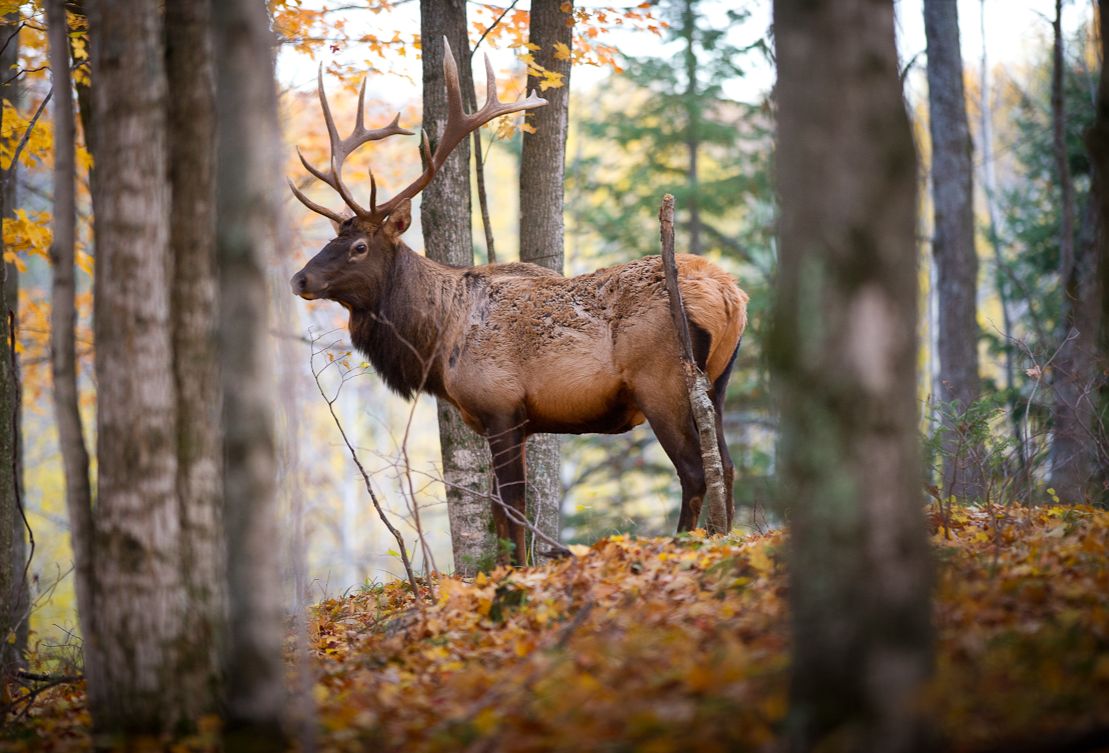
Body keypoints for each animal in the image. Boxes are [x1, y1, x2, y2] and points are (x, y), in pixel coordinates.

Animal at [289, 40, 749, 566]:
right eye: (333, 237)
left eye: (360, 247)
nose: (299, 278)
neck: (438, 345)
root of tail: (732, 295)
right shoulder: (515, 421)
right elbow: (499, 510)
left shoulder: (500, 406)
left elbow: (511, 507)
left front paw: (516, 571)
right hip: (718, 382)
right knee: (726, 466)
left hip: (662, 380)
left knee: (694, 471)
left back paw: (682, 545)